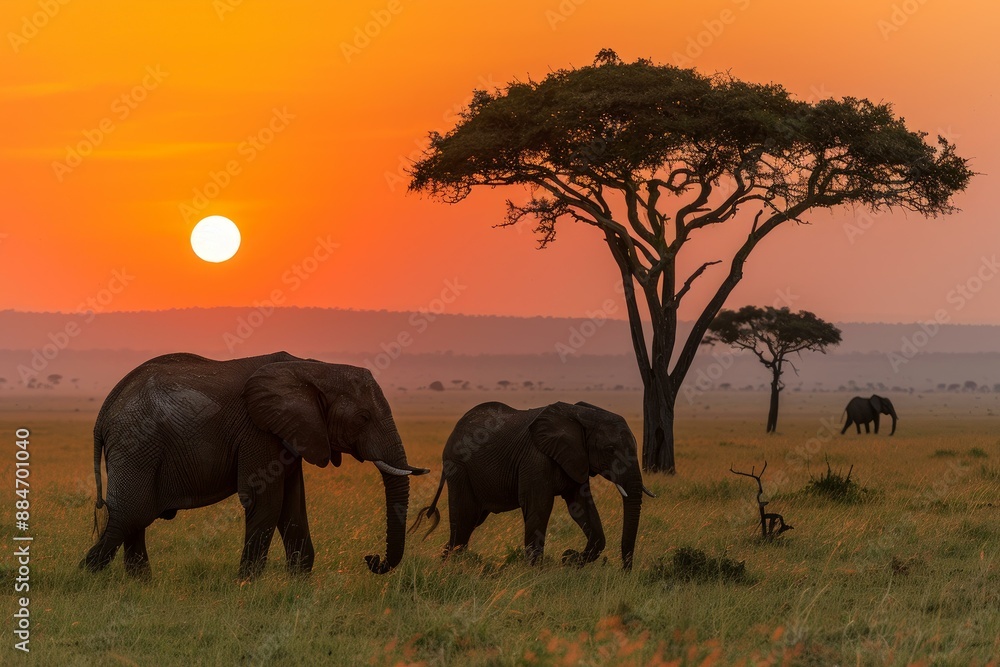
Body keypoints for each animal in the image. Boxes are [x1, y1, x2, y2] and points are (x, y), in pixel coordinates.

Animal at [80, 351, 428, 580]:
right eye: (363, 418)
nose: (371, 558)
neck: (313, 368)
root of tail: (104, 411)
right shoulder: (258, 432)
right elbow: (267, 501)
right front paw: (247, 583)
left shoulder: (291, 433)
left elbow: (293, 505)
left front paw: (298, 582)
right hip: (136, 444)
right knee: (130, 513)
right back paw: (87, 579)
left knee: (135, 517)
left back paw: (141, 584)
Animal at [409, 401, 654, 570]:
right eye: (610, 450)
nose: (625, 572)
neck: (581, 414)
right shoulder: (536, 459)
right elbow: (540, 508)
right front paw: (537, 573)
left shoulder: (576, 459)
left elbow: (581, 507)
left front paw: (569, 559)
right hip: (458, 467)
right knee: (464, 519)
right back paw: (452, 567)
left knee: (468, 523)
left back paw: (449, 565)